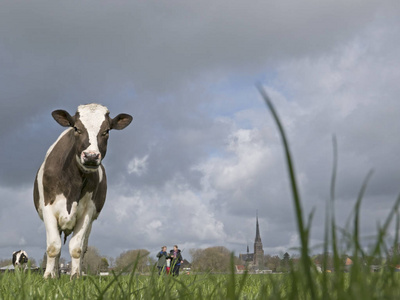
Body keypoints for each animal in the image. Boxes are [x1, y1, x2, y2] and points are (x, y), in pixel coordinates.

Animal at [33, 103, 133, 278]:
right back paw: (55, 275)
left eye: (106, 131)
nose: (91, 156)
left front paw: (75, 276)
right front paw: (47, 276)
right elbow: (53, 247)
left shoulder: (87, 212)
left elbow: (77, 248)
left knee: (83, 247)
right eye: (77, 128)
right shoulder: (48, 209)